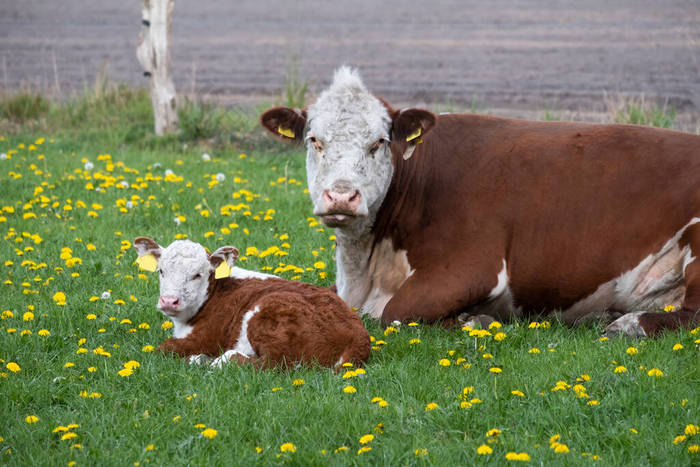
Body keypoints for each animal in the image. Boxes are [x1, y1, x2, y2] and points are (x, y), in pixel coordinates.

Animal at [133, 238, 372, 370]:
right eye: (161, 271)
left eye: (197, 275)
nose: (169, 301)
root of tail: (359, 335)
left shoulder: (206, 337)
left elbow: (165, 348)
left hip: (270, 315)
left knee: (275, 364)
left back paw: (217, 360)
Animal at [262, 66, 700, 336]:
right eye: (314, 140)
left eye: (380, 142)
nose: (341, 196)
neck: (367, 270)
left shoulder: (474, 266)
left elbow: (396, 313)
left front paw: (476, 321)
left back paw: (627, 324)